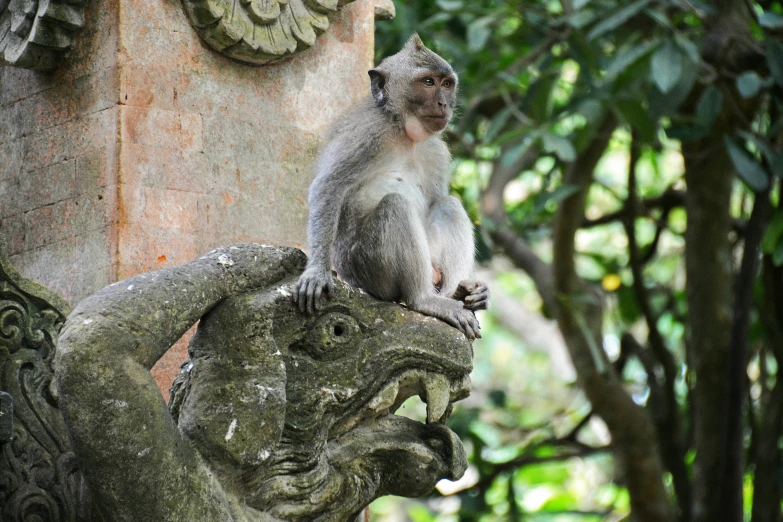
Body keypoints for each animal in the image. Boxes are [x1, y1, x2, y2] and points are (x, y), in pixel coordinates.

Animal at [294, 34, 490, 340]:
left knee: (448, 204)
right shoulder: (369, 133)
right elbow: (329, 186)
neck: (404, 131)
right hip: (369, 269)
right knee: (395, 205)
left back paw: (456, 294)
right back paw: (424, 300)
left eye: (447, 84)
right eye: (428, 82)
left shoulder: (436, 151)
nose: (444, 103)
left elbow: (434, 200)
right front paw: (316, 271)